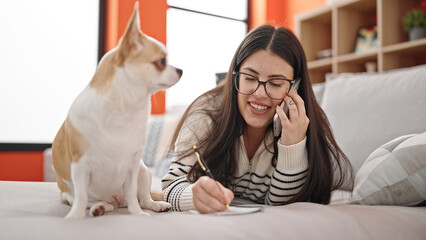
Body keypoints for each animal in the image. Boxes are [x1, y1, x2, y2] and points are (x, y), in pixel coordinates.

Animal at [52, 1, 180, 219]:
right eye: (162, 61)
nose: (180, 70)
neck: (124, 109)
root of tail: (116, 201)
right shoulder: (80, 168)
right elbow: (81, 199)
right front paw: (74, 217)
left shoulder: (132, 166)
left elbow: (134, 197)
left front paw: (138, 214)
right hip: (67, 194)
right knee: (88, 200)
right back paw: (99, 207)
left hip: (143, 172)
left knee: (143, 198)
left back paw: (155, 206)